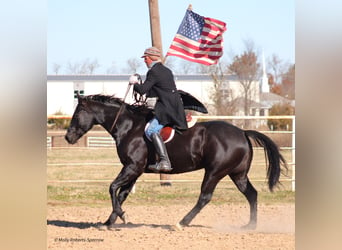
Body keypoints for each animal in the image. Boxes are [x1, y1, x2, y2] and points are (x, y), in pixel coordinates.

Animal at [65, 94, 288, 230]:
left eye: (77, 114)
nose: (68, 137)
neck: (129, 126)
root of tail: (242, 132)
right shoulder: (134, 170)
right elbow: (122, 194)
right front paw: (109, 221)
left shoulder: (132, 167)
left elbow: (113, 188)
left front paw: (121, 216)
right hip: (237, 174)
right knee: (251, 194)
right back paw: (250, 226)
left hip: (214, 172)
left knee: (205, 197)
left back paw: (181, 223)